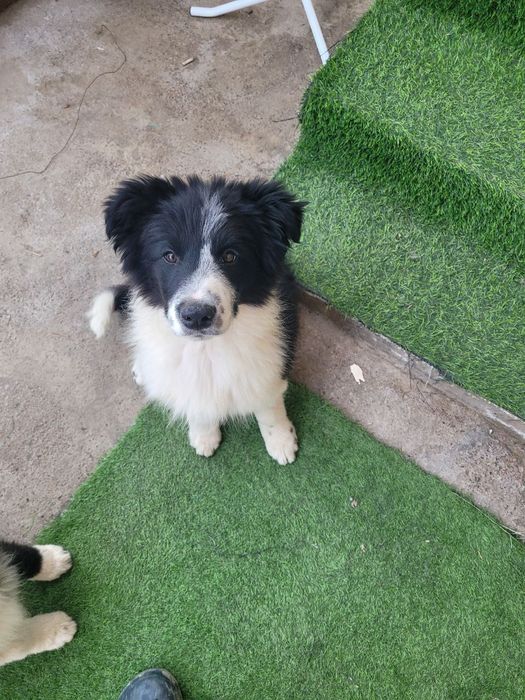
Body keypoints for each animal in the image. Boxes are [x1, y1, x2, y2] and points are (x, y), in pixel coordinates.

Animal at [88, 176, 305, 464]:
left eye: (230, 256)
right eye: (169, 255)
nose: (197, 316)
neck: (205, 349)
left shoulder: (271, 360)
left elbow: (268, 404)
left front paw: (280, 441)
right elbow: (194, 398)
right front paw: (204, 435)